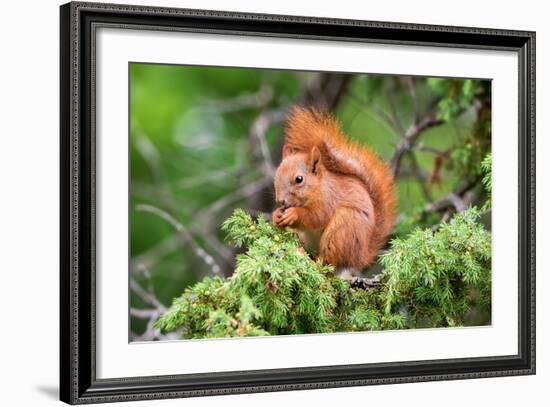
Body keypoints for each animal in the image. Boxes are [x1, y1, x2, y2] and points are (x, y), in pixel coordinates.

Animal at [274, 107, 396, 274]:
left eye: (299, 179)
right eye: (276, 175)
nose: (281, 201)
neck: (319, 187)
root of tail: (360, 257)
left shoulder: (328, 200)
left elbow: (317, 217)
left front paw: (294, 214)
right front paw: (276, 215)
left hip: (343, 230)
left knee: (328, 264)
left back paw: (310, 261)